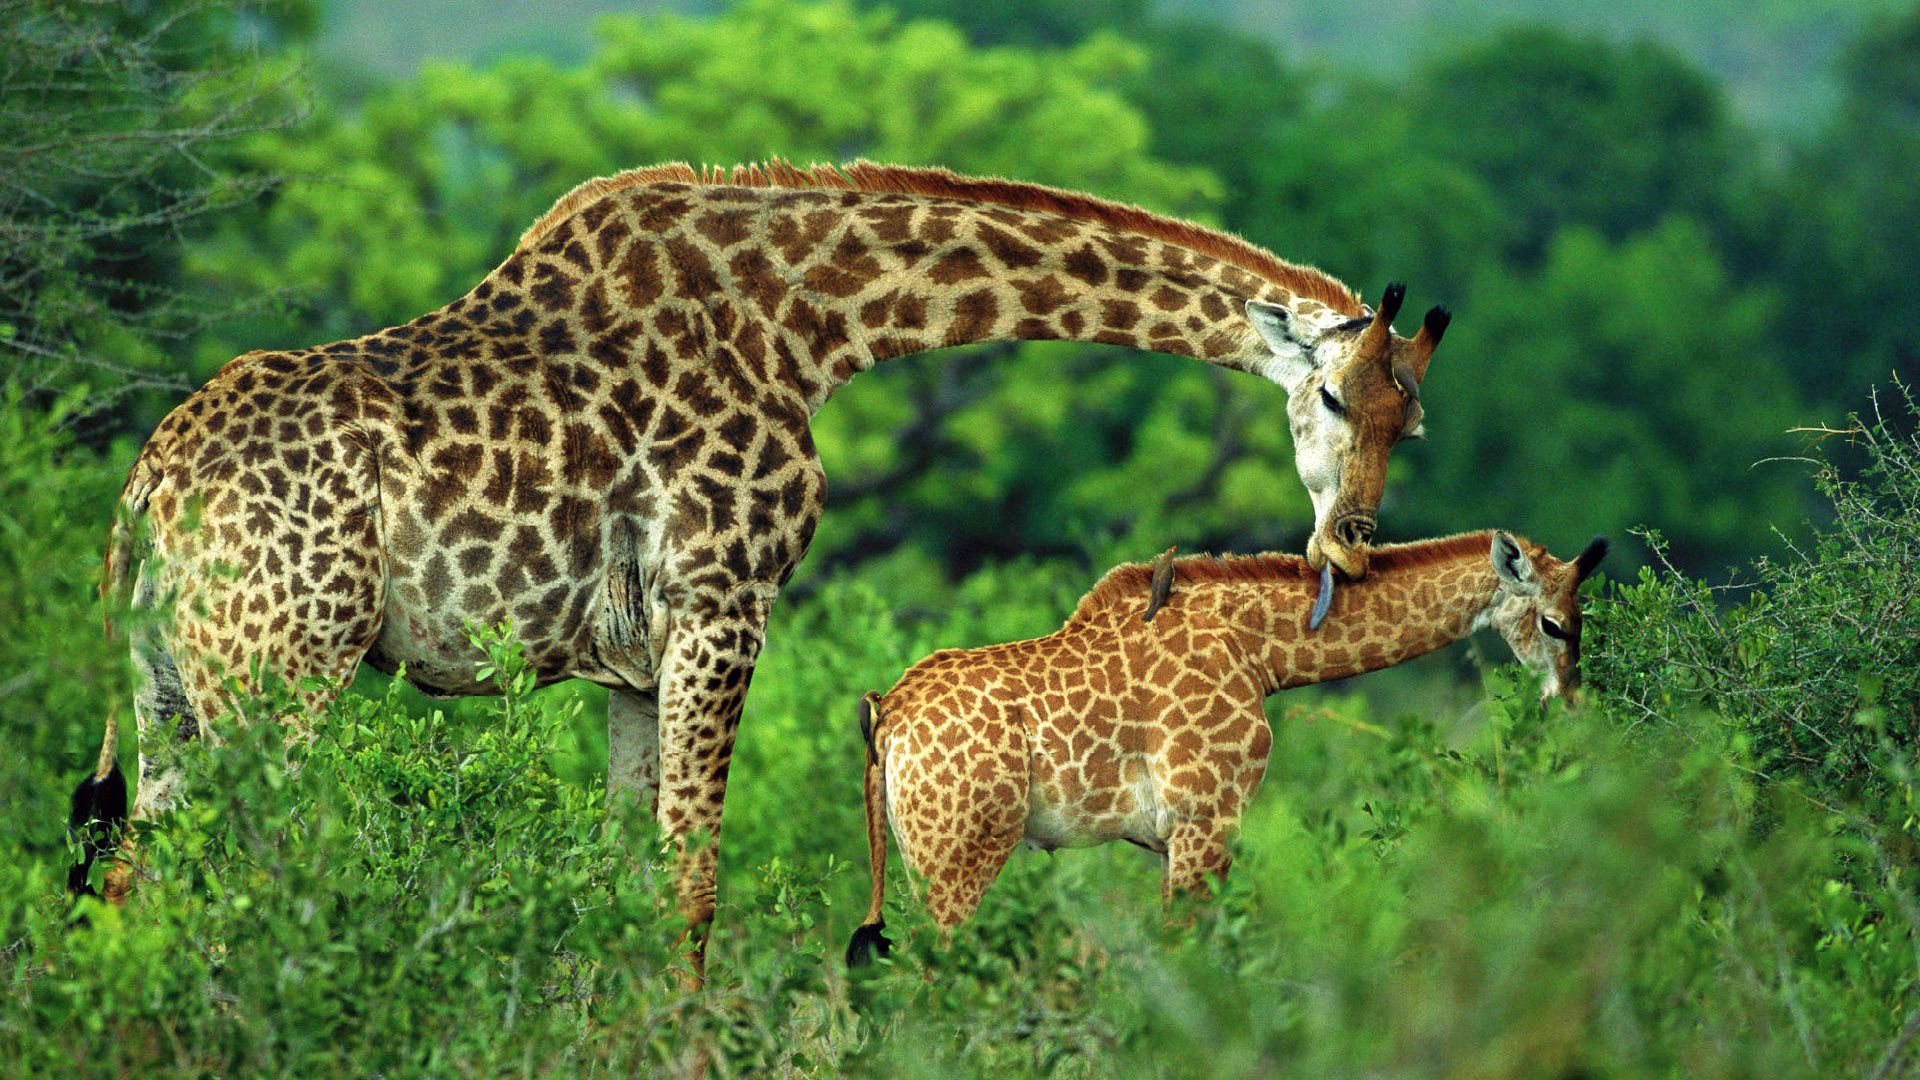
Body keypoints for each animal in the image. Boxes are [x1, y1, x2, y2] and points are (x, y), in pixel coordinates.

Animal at [66, 160, 1452, 981]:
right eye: (1334, 394)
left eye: (1414, 421)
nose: (1349, 541)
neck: (813, 325)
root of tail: (145, 495)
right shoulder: (724, 604)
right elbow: (694, 886)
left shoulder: (630, 661)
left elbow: (628, 878)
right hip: (283, 674)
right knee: (250, 875)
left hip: (171, 684)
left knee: (136, 874)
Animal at [844, 530, 1608, 964]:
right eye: (1554, 623)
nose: (1571, 704)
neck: (1260, 650)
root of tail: (886, 715)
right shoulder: (1206, 817)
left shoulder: (1172, 837)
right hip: (960, 852)